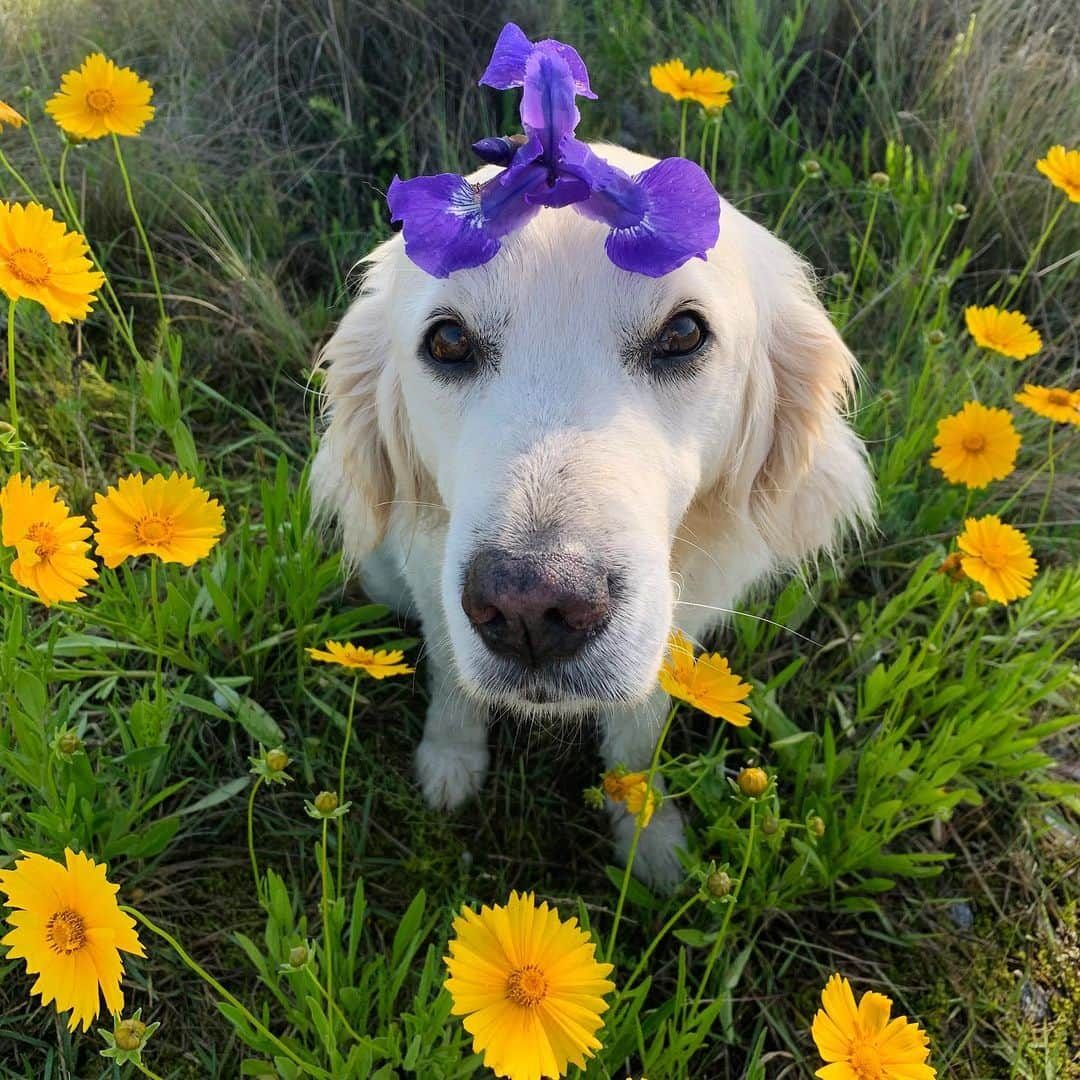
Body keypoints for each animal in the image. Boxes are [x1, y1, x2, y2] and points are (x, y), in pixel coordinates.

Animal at [308, 145, 872, 885]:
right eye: (449, 340)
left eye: (683, 333)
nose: (530, 608)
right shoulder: (432, 589)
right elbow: (452, 680)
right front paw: (451, 761)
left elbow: (639, 733)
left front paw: (648, 833)